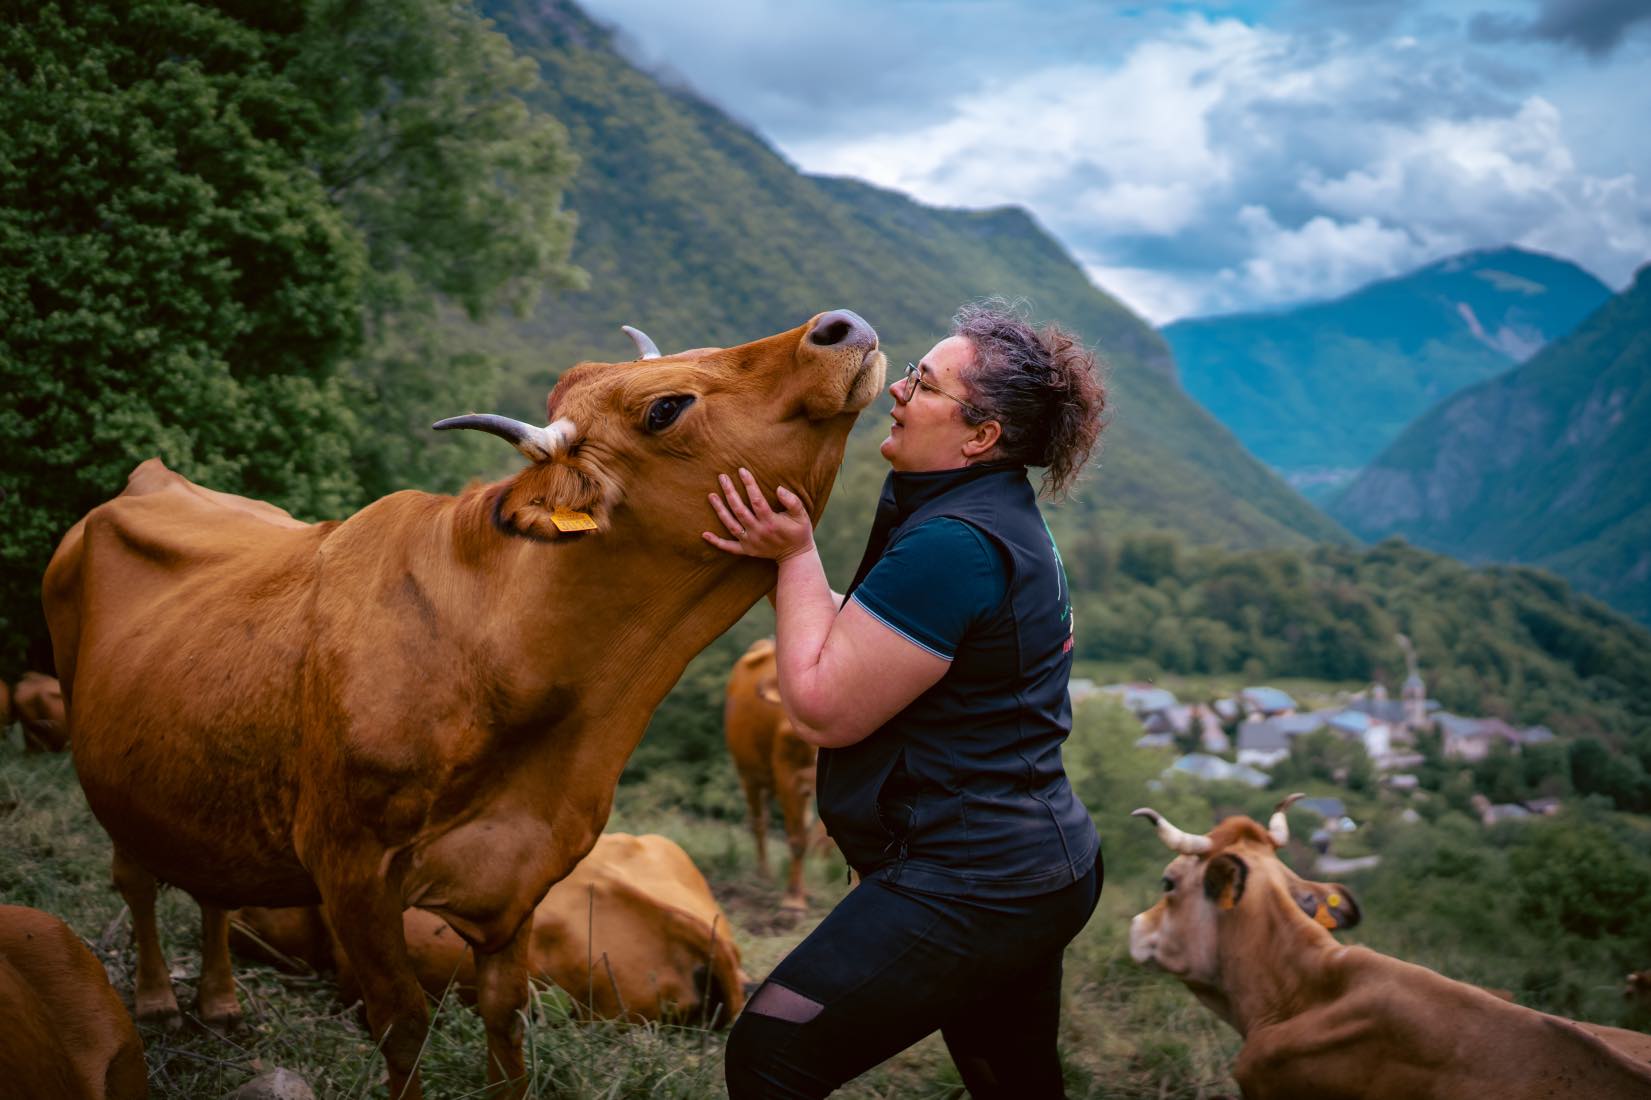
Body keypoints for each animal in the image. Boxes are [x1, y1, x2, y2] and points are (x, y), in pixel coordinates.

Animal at [726, 634, 822, 905]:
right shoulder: (786, 772)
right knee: (759, 822)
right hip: (748, 773)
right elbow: (798, 837)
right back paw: (764, 875)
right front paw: (793, 901)